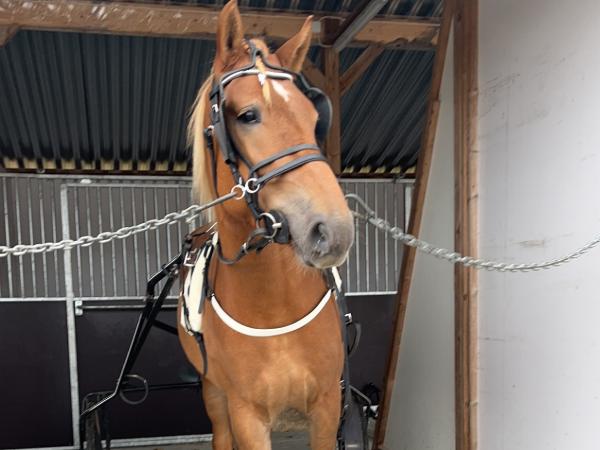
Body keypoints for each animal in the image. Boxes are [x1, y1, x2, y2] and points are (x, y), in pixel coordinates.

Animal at [178, 2, 355, 449]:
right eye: (247, 115)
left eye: (314, 117)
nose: (333, 230)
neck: (274, 309)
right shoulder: (246, 413)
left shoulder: (328, 407)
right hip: (215, 395)